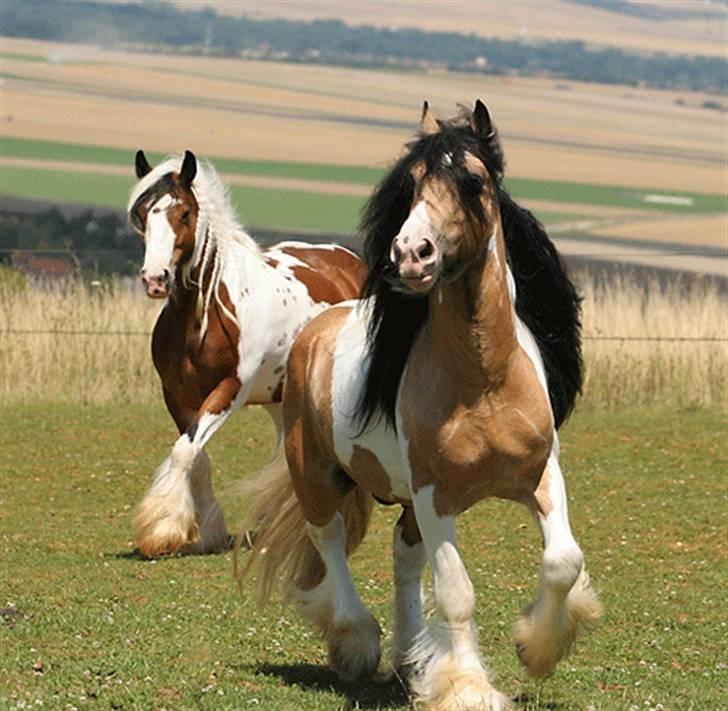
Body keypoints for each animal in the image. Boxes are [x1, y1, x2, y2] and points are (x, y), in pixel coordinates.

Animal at [127, 152, 366, 560]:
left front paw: (162, 529)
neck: (204, 316)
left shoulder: (229, 391)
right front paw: (205, 532)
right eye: (143, 213)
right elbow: (196, 457)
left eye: (184, 213)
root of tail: (350, 262)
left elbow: (185, 452)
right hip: (280, 397)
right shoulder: (176, 395)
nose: (155, 279)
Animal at [240, 103, 604, 708]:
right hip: (318, 476)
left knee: (403, 557)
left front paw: (537, 647)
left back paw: (412, 660)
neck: (484, 383)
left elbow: (563, 561)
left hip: (405, 501)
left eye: (473, 181)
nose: (411, 254)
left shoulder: (540, 476)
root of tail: (316, 329)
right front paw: (468, 688)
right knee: (329, 542)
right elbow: (457, 593)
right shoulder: (437, 498)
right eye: (410, 185)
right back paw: (358, 644)